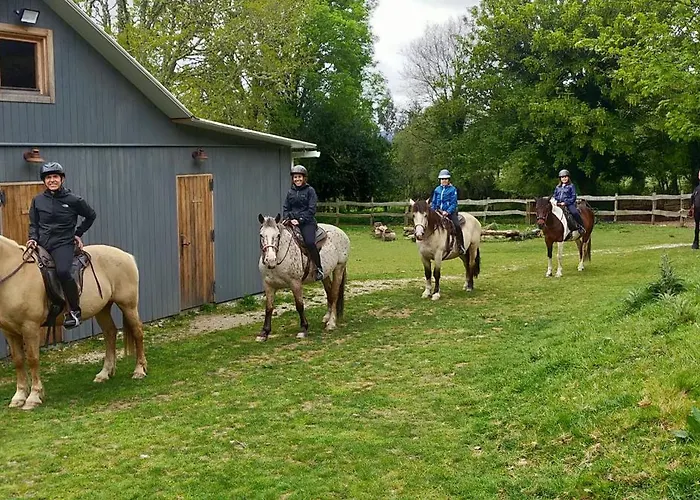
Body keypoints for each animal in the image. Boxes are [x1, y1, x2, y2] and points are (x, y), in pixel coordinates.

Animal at [0, 236, 147, 409]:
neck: (16, 276)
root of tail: (127, 256)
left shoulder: (30, 327)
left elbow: (32, 359)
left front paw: (34, 397)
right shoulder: (9, 331)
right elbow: (18, 361)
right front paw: (19, 396)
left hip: (128, 305)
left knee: (137, 332)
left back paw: (139, 370)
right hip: (102, 309)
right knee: (110, 333)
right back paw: (104, 373)